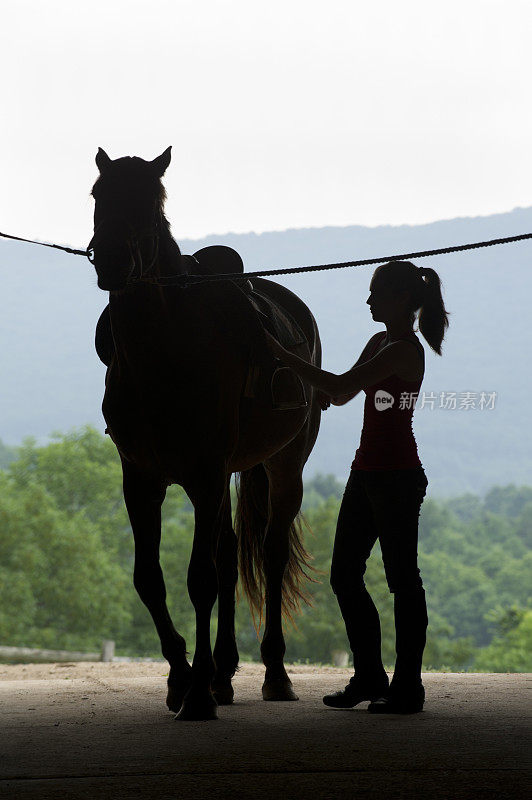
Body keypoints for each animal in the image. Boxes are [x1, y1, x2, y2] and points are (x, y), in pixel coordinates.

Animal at [90, 147, 322, 720]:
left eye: (152, 200)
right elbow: (150, 579)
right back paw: (223, 674)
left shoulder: (204, 475)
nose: (112, 261)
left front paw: (194, 696)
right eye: (99, 194)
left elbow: (200, 580)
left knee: (270, 552)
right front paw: (182, 678)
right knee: (230, 556)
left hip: (284, 465)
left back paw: (274, 674)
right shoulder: (141, 480)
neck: (164, 351)